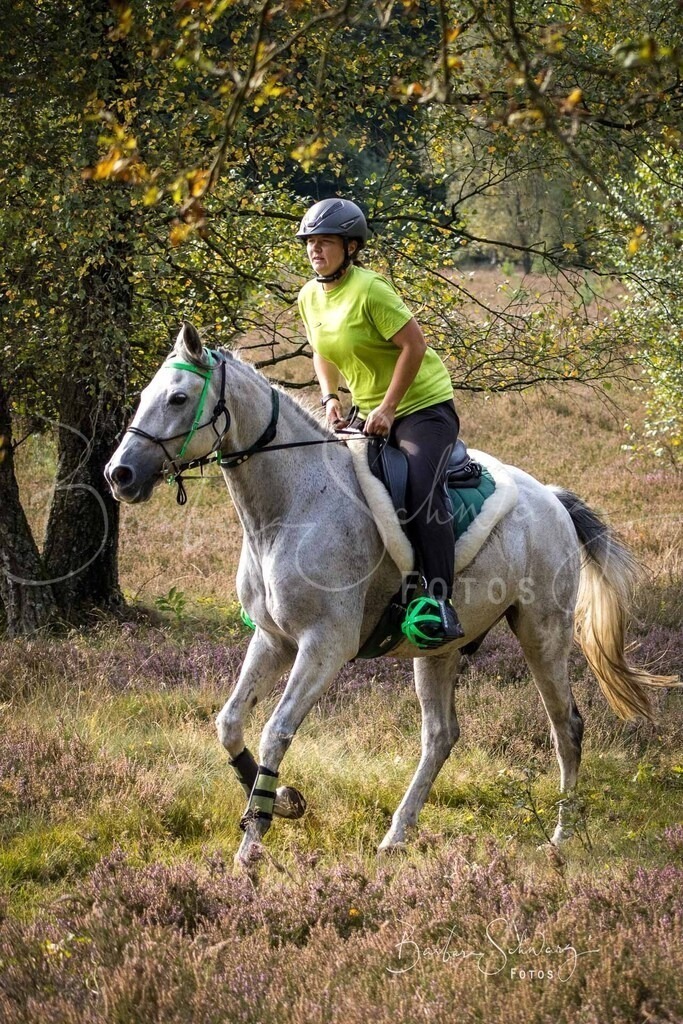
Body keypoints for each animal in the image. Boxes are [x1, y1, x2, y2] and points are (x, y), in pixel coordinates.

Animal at [105, 323, 676, 869]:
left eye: (178, 398)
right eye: (145, 395)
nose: (119, 475)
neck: (292, 507)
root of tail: (552, 500)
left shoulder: (324, 646)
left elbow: (276, 729)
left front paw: (253, 843)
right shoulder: (273, 640)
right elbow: (229, 723)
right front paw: (282, 800)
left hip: (542, 631)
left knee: (566, 727)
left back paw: (559, 838)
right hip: (440, 650)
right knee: (441, 735)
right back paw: (396, 836)